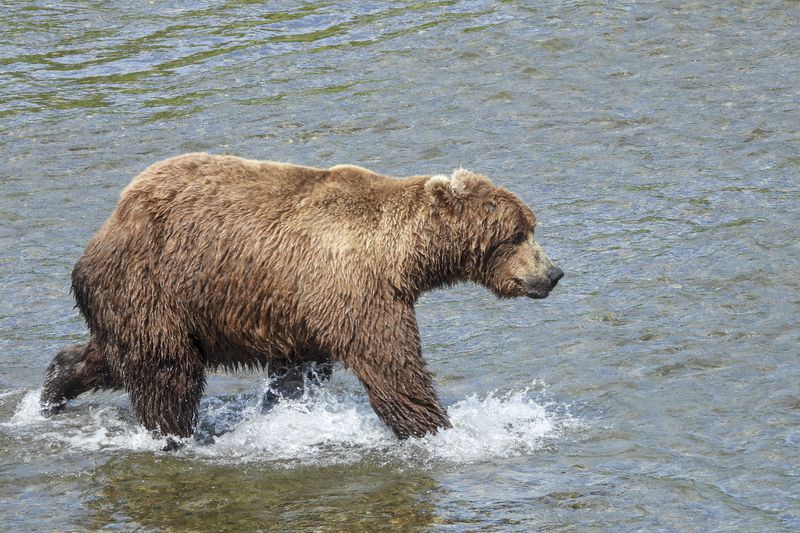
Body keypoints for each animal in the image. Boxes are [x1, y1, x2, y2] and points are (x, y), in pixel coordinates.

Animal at [39, 152, 564, 438]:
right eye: (518, 235)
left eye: (530, 228)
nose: (554, 273)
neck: (401, 259)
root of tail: (107, 226)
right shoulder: (354, 291)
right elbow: (394, 368)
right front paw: (441, 429)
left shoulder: (300, 312)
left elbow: (297, 373)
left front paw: (283, 412)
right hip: (152, 283)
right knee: (166, 370)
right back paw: (175, 434)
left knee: (110, 356)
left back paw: (52, 392)